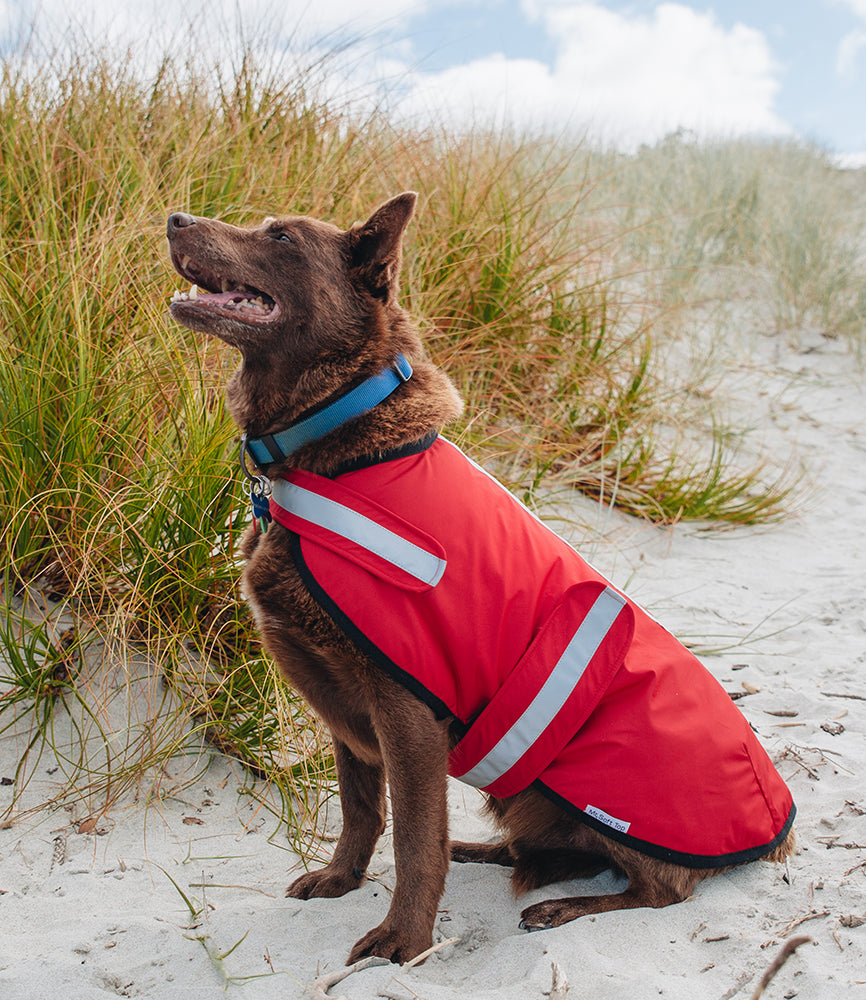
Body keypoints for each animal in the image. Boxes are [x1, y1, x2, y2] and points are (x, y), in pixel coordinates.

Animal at [165, 191, 792, 964]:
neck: (338, 445)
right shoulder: (344, 701)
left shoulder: (405, 707)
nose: (175, 219)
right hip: (521, 793)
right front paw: (342, 881)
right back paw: (485, 851)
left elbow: (413, 841)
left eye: (280, 236)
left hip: (595, 796)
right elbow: (361, 810)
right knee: (542, 848)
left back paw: (564, 907)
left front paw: (402, 941)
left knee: (659, 887)